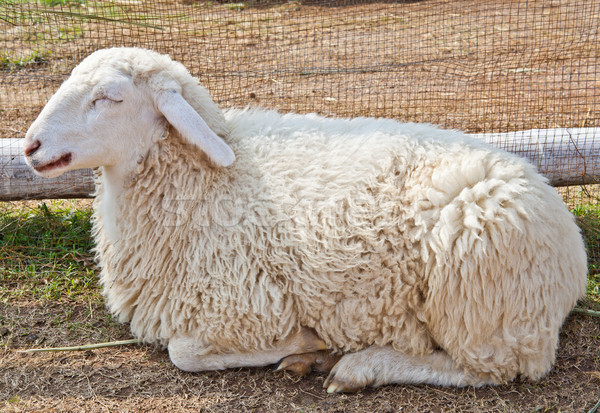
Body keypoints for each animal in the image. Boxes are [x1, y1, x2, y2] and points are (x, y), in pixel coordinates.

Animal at [23, 46, 584, 392]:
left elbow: (185, 353)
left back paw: (357, 365)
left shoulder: (242, 305)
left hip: (480, 302)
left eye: (108, 98)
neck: (207, 181)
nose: (29, 147)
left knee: (491, 368)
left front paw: (303, 344)